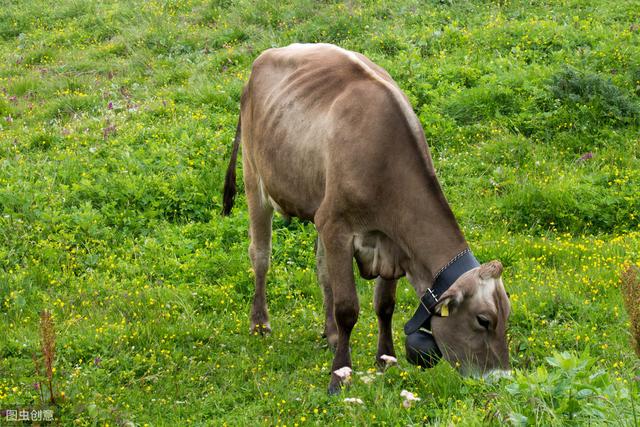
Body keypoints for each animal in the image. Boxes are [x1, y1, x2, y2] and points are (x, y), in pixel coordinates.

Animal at [221, 43, 510, 394]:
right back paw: (260, 323)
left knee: (322, 271)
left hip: (318, 205)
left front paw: (386, 360)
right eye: (484, 320)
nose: (503, 378)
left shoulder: (390, 243)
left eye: (507, 317)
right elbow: (348, 308)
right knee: (260, 255)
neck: (386, 163)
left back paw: (330, 334)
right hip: (255, 177)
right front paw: (339, 376)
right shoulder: (338, 228)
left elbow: (384, 305)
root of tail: (265, 56)